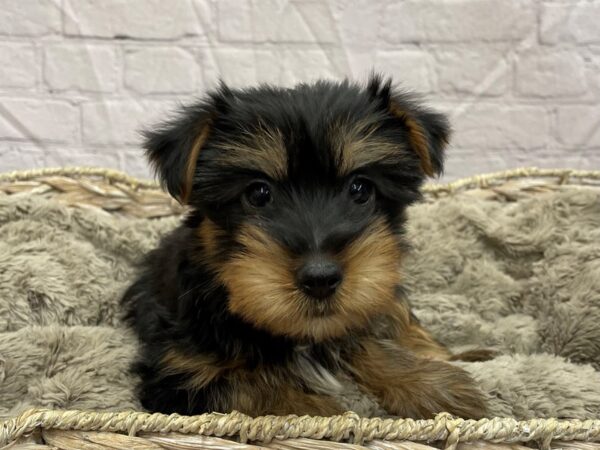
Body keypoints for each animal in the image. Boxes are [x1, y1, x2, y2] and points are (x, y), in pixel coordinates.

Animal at [122, 76, 488, 418]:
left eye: (360, 189)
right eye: (258, 194)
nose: (320, 277)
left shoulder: (356, 308)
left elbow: (364, 335)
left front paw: (428, 383)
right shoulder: (178, 374)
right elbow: (244, 387)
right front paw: (321, 411)